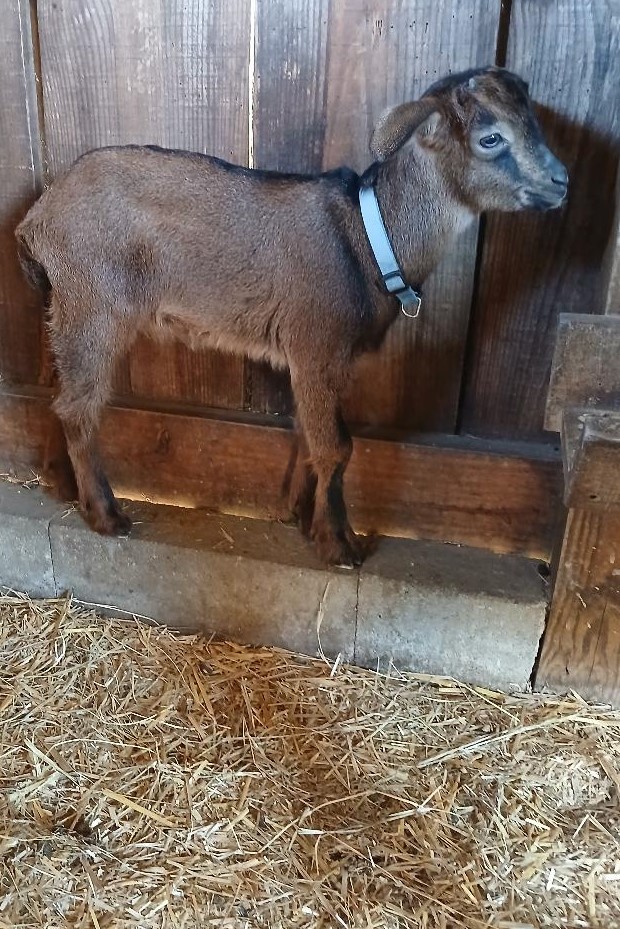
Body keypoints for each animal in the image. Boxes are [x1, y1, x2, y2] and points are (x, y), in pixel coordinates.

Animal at [16, 66, 567, 567]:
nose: (561, 181)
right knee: (80, 405)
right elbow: (338, 446)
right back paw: (107, 515)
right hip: (93, 304)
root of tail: (36, 220)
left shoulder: (318, 359)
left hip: (64, 308)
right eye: (490, 137)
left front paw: (304, 516)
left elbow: (311, 434)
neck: (366, 239)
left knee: (60, 396)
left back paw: (65, 485)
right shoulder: (317, 344)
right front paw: (340, 544)